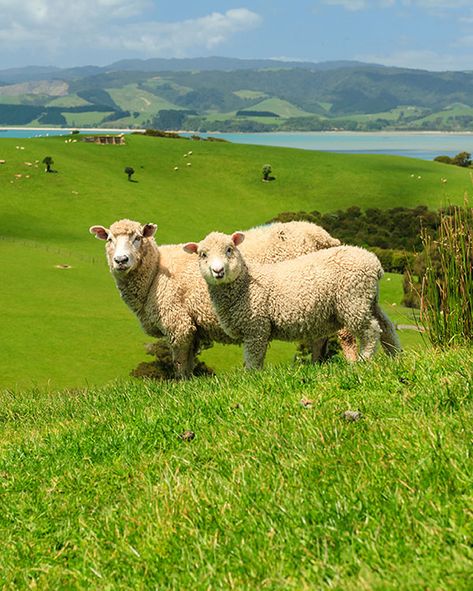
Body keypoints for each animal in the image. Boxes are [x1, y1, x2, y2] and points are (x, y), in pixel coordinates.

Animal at [88, 219, 356, 380]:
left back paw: (354, 363)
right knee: (319, 337)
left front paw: (180, 388)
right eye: (109, 239)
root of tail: (323, 237)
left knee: (345, 334)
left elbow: (179, 363)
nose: (121, 260)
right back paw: (317, 366)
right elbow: (188, 362)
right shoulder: (192, 327)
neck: (155, 272)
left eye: (137, 238)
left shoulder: (178, 323)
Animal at [183, 231, 400, 370]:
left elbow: (253, 358)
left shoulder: (256, 327)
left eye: (229, 249)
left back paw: (365, 359)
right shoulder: (255, 329)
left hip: (353, 300)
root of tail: (375, 264)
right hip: (369, 299)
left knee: (371, 330)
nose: (218, 271)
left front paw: (252, 377)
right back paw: (396, 356)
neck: (245, 284)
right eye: (203, 254)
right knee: (387, 327)